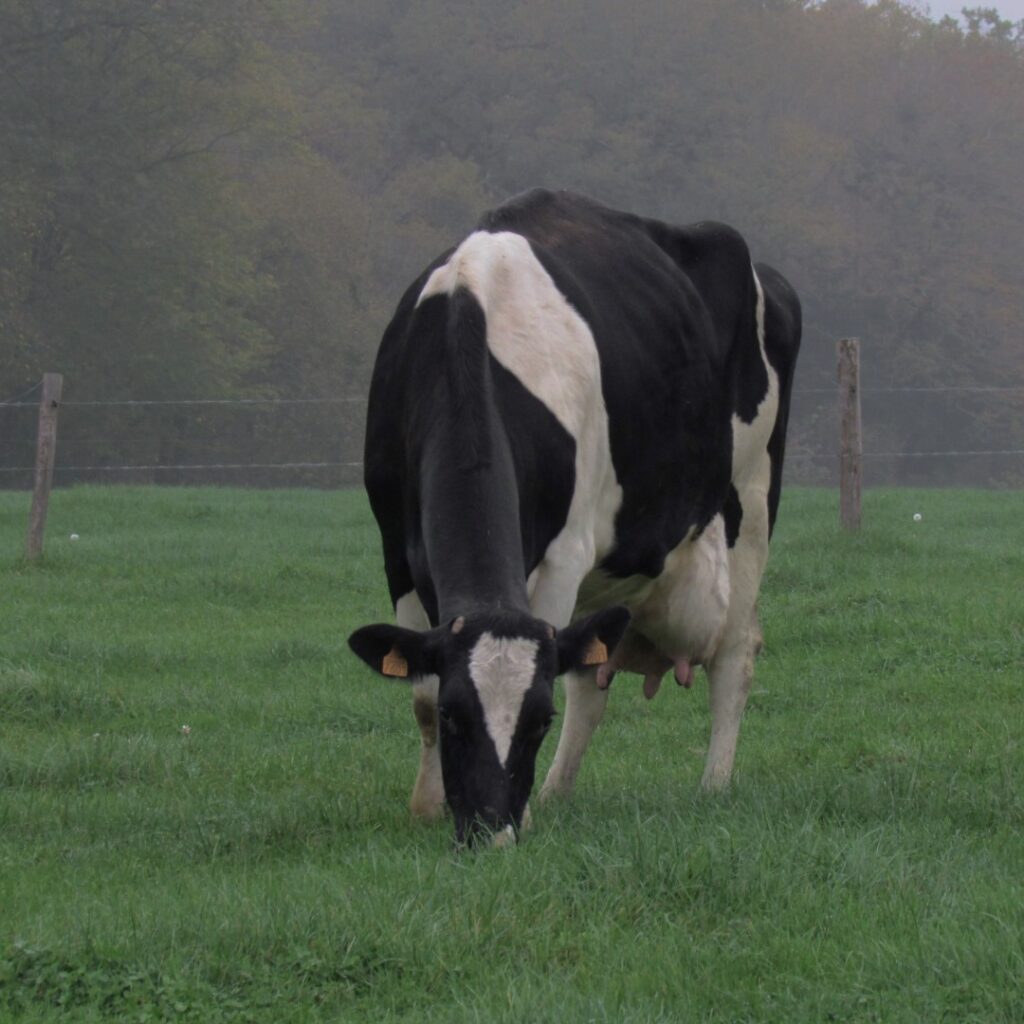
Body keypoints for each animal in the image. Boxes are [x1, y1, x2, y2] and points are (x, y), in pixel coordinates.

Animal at [349, 188, 801, 846]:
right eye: (460, 717)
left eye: (540, 719)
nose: (492, 831)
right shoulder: (396, 552)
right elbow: (422, 694)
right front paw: (429, 807)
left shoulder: (564, 555)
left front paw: (519, 814)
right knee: (592, 678)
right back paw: (557, 792)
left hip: (750, 503)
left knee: (735, 657)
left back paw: (713, 786)